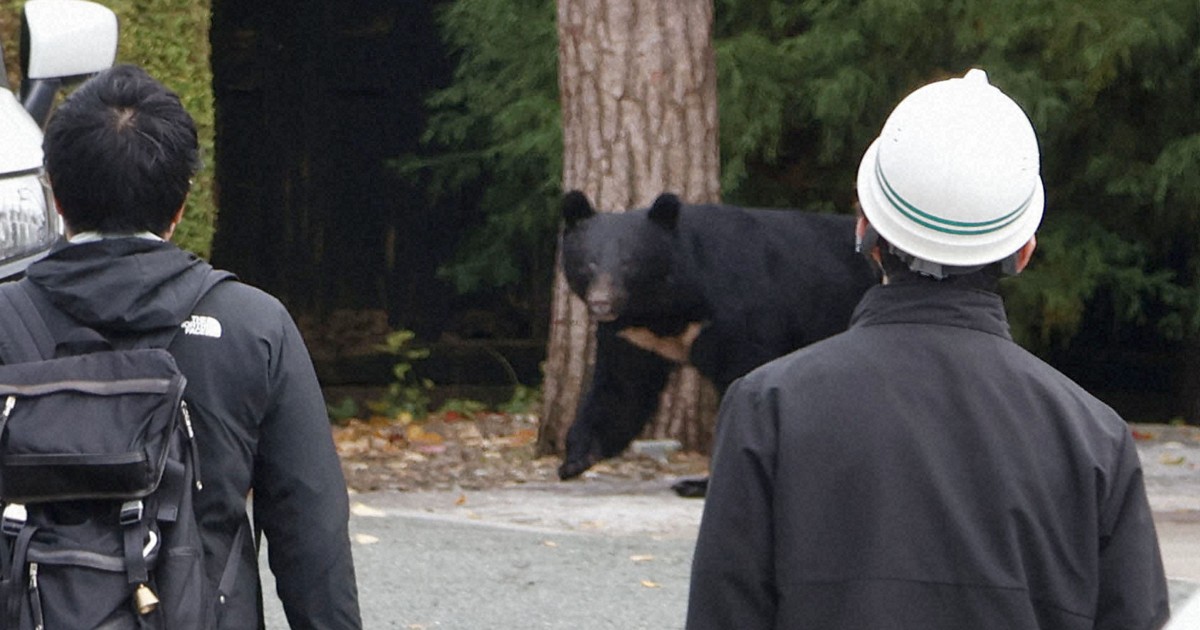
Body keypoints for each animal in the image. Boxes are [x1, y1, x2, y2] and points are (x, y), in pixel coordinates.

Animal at [557, 190, 878, 494]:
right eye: (589, 263)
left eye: (629, 263)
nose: (601, 302)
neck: (664, 309)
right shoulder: (634, 336)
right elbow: (622, 387)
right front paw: (576, 458)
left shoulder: (734, 312)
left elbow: (744, 374)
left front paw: (700, 483)